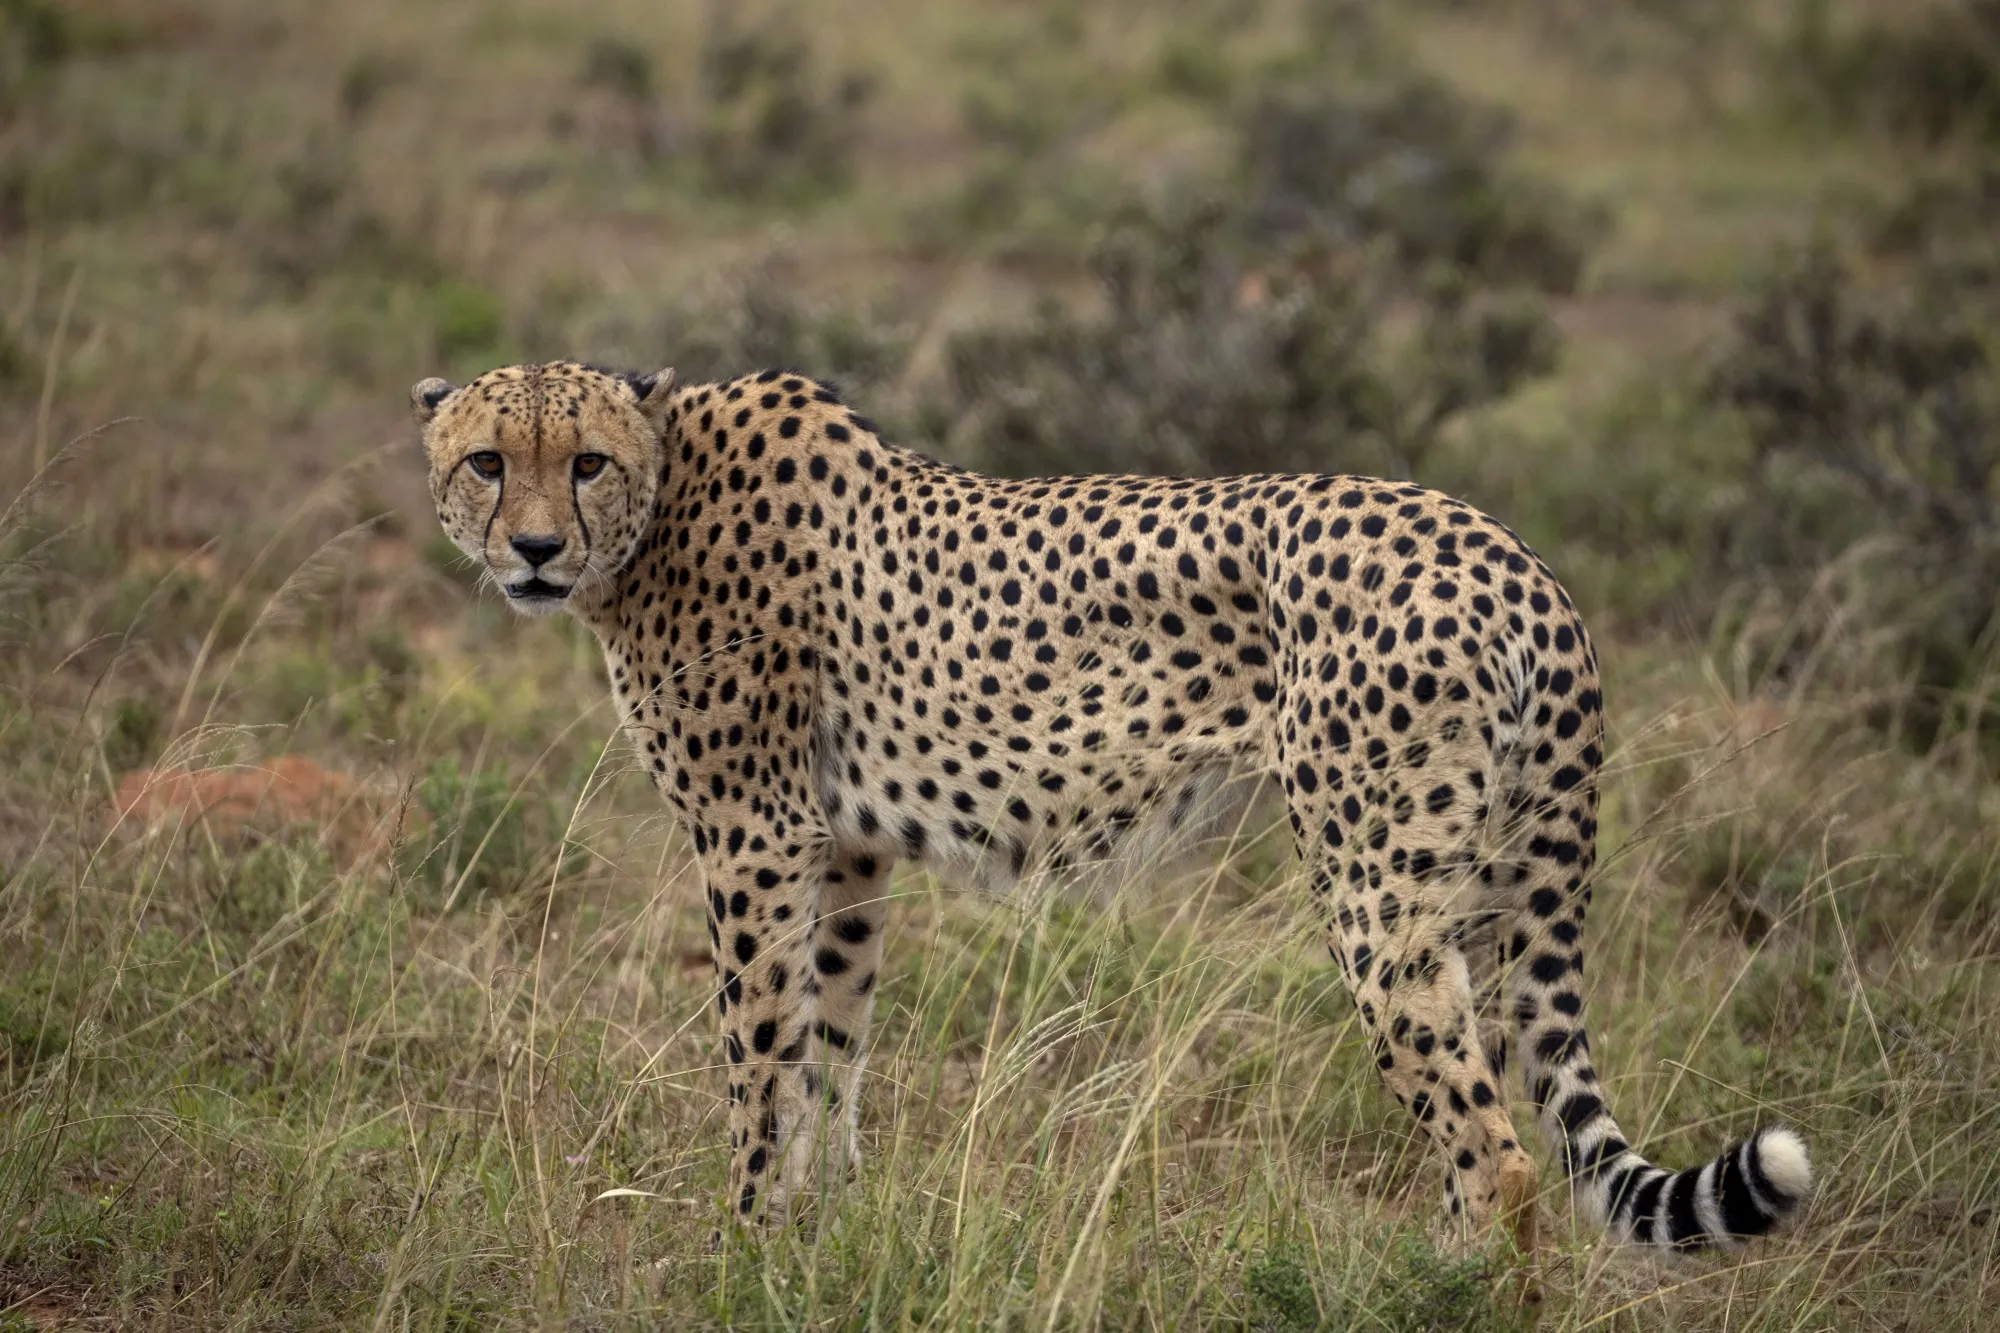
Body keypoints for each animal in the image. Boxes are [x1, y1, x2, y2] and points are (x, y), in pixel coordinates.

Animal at [409, 358, 1813, 1267]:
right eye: (488, 462)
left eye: (584, 463)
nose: (532, 550)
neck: (663, 501)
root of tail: (1507, 550)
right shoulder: (846, 850)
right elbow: (832, 1050)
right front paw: (827, 1230)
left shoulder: (751, 838)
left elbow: (761, 1057)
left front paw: (744, 1238)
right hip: (1485, 892)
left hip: (1375, 890)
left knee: (1497, 1153)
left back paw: (1439, 1289)